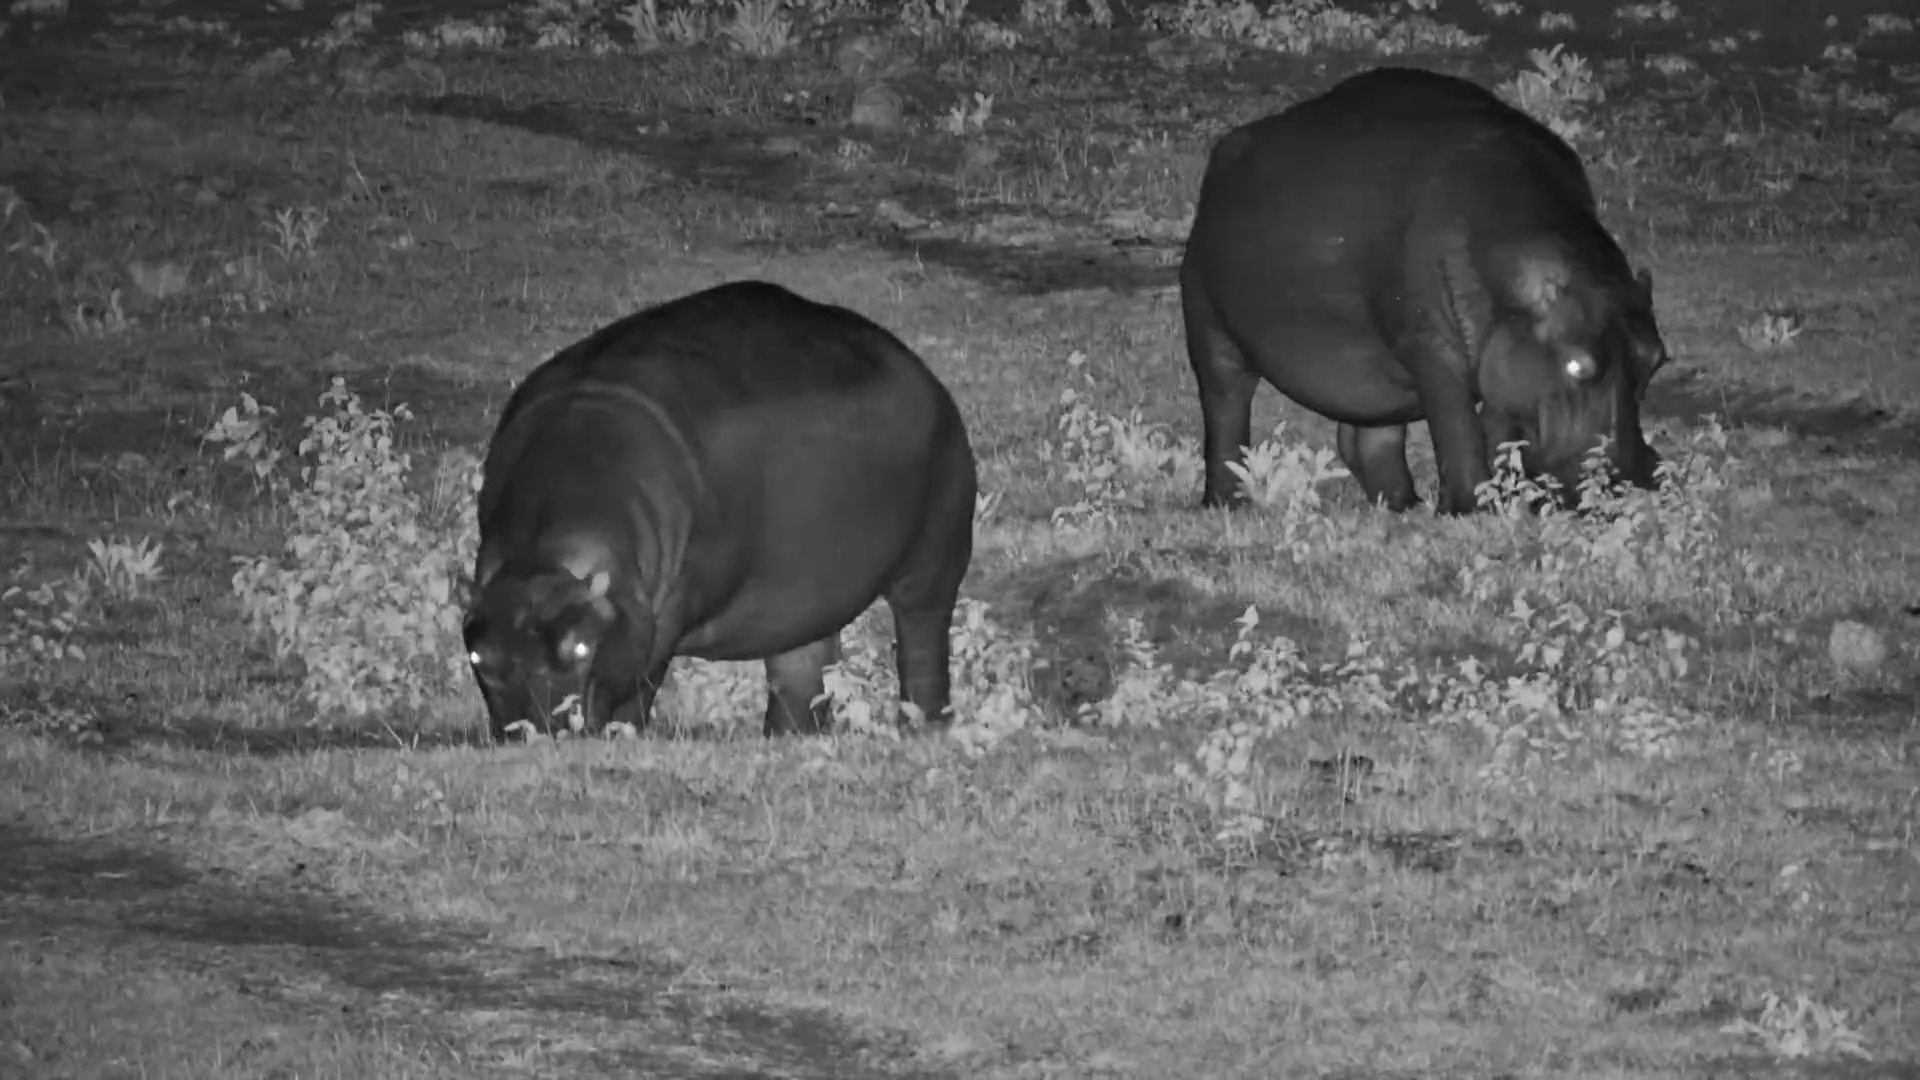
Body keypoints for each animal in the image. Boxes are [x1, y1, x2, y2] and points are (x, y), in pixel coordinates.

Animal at [461, 281, 978, 741]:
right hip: (803, 600)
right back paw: (789, 737)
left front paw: (621, 735)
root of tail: (925, 374)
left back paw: (922, 728)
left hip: (933, 562)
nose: (534, 732)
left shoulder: (663, 616)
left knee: (922, 641)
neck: (544, 558)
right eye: (478, 658)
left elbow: (639, 685)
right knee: (801, 670)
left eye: (583, 646)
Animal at [1180, 66, 1671, 515]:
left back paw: (1403, 504)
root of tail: (1225, 153)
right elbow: (1457, 427)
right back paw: (1226, 503)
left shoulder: (1499, 357)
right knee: (1225, 412)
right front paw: (1473, 508)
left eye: (1656, 359)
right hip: (1210, 329)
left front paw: (1506, 499)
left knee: (1368, 436)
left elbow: (1497, 431)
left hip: (1374, 377)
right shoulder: (1432, 348)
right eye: (1574, 365)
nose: (1636, 484)